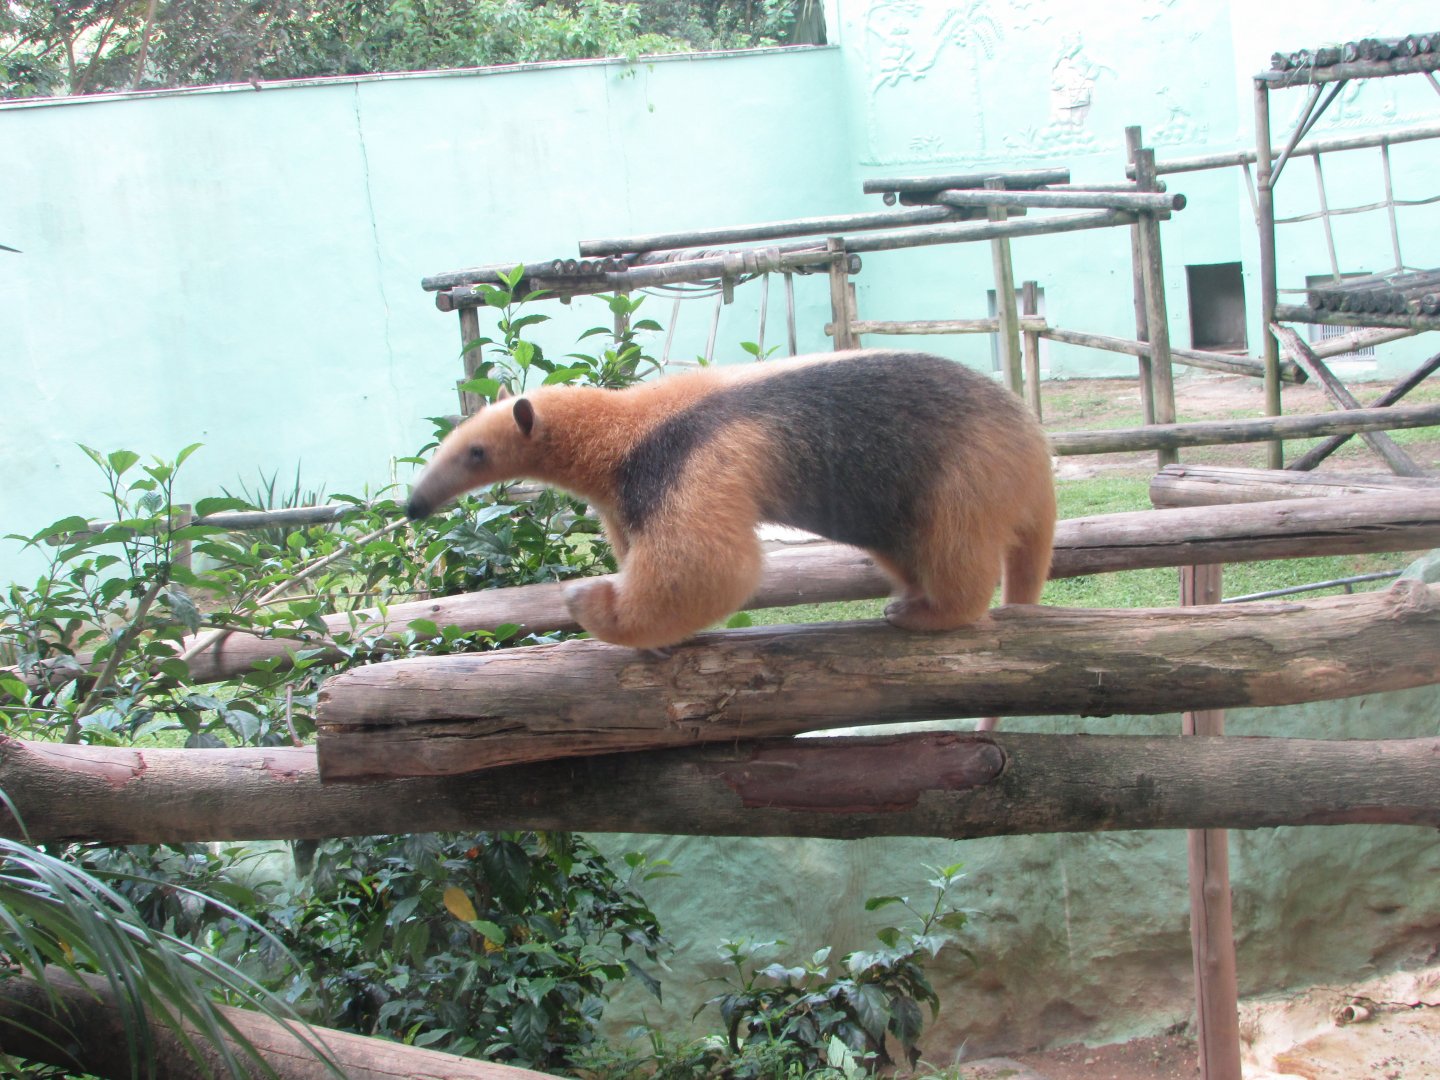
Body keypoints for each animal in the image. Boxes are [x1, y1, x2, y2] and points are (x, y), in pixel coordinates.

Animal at [405, 348, 1056, 652]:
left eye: (476, 453)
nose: (414, 508)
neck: (626, 428)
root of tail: (1033, 449)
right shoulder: (629, 494)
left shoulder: (692, 461)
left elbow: (708, 567)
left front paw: (585, 600)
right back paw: (912, 599)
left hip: (964, 472)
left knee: (955, 544)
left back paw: (930, 613)